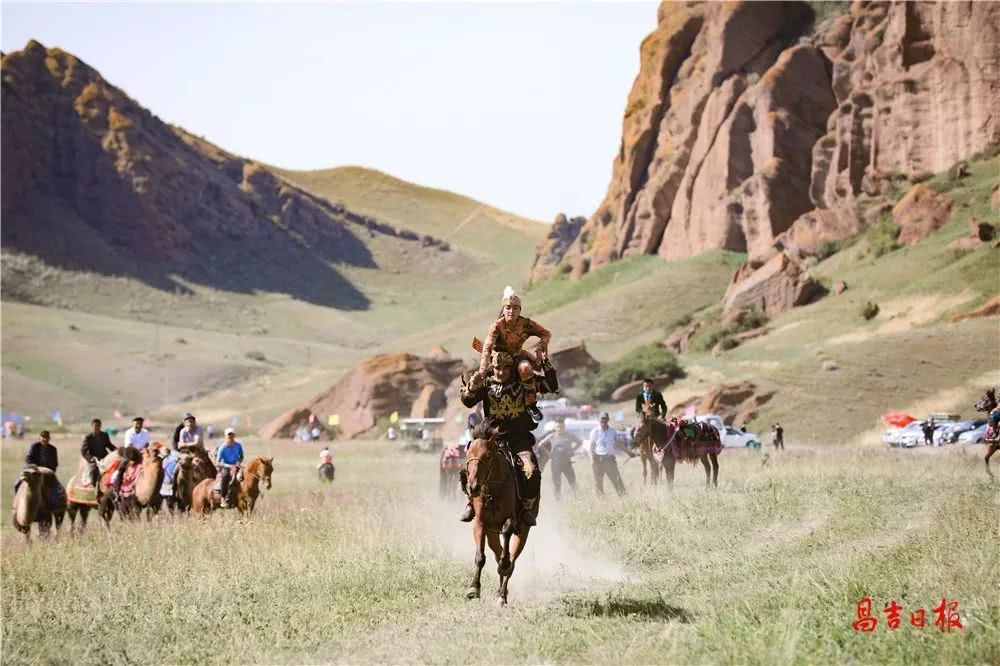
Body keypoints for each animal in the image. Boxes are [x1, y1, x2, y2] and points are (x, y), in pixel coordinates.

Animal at [464, 422, 529, 607]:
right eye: (468, 454)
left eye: (487, 456)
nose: (473, 487)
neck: (493, 489)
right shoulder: (480, 523)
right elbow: (480, 557)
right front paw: (474, 589)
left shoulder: (512, 521)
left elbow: (506, 551)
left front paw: (504, 565)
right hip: (491, 534)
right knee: (498, 552)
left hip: (523, 532)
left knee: (511, 559)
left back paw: (502, 595)